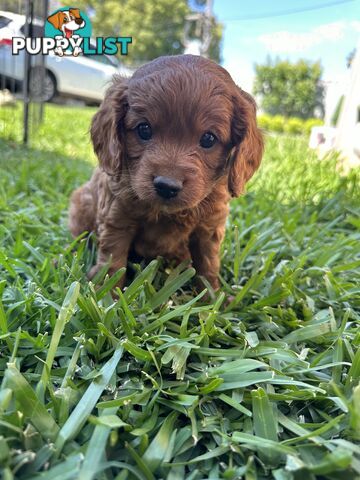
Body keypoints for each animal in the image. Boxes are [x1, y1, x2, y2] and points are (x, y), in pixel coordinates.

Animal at [69, 54, 262, 290]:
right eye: (144, 129)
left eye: (209, 139)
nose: (167, 186)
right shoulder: (117, 218)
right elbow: (113, 263)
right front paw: (107, 295)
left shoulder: (208, 228)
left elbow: (208, 266)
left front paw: (214, 296)